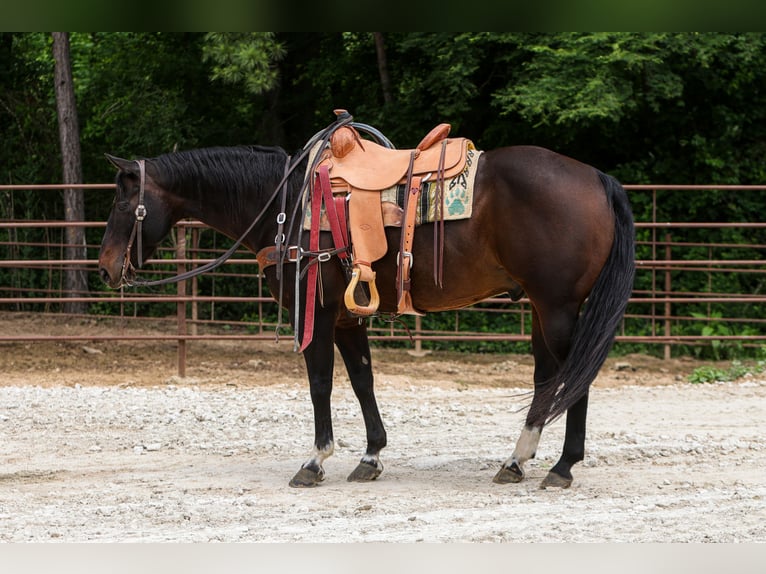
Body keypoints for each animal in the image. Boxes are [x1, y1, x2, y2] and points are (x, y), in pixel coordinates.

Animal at [98, 124, 635, 490]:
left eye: (123, 205)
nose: (104, 268)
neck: (287, 204)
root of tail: (596, 177)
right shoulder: (346, 318)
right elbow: (362, 381)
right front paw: (371, 456)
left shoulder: (314, 314)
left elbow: (320, 384)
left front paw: (315, 461)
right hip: (544, 310)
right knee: (547, 380)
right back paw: (516, 461)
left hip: (559, 308)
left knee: (574, 379)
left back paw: (561, 468)